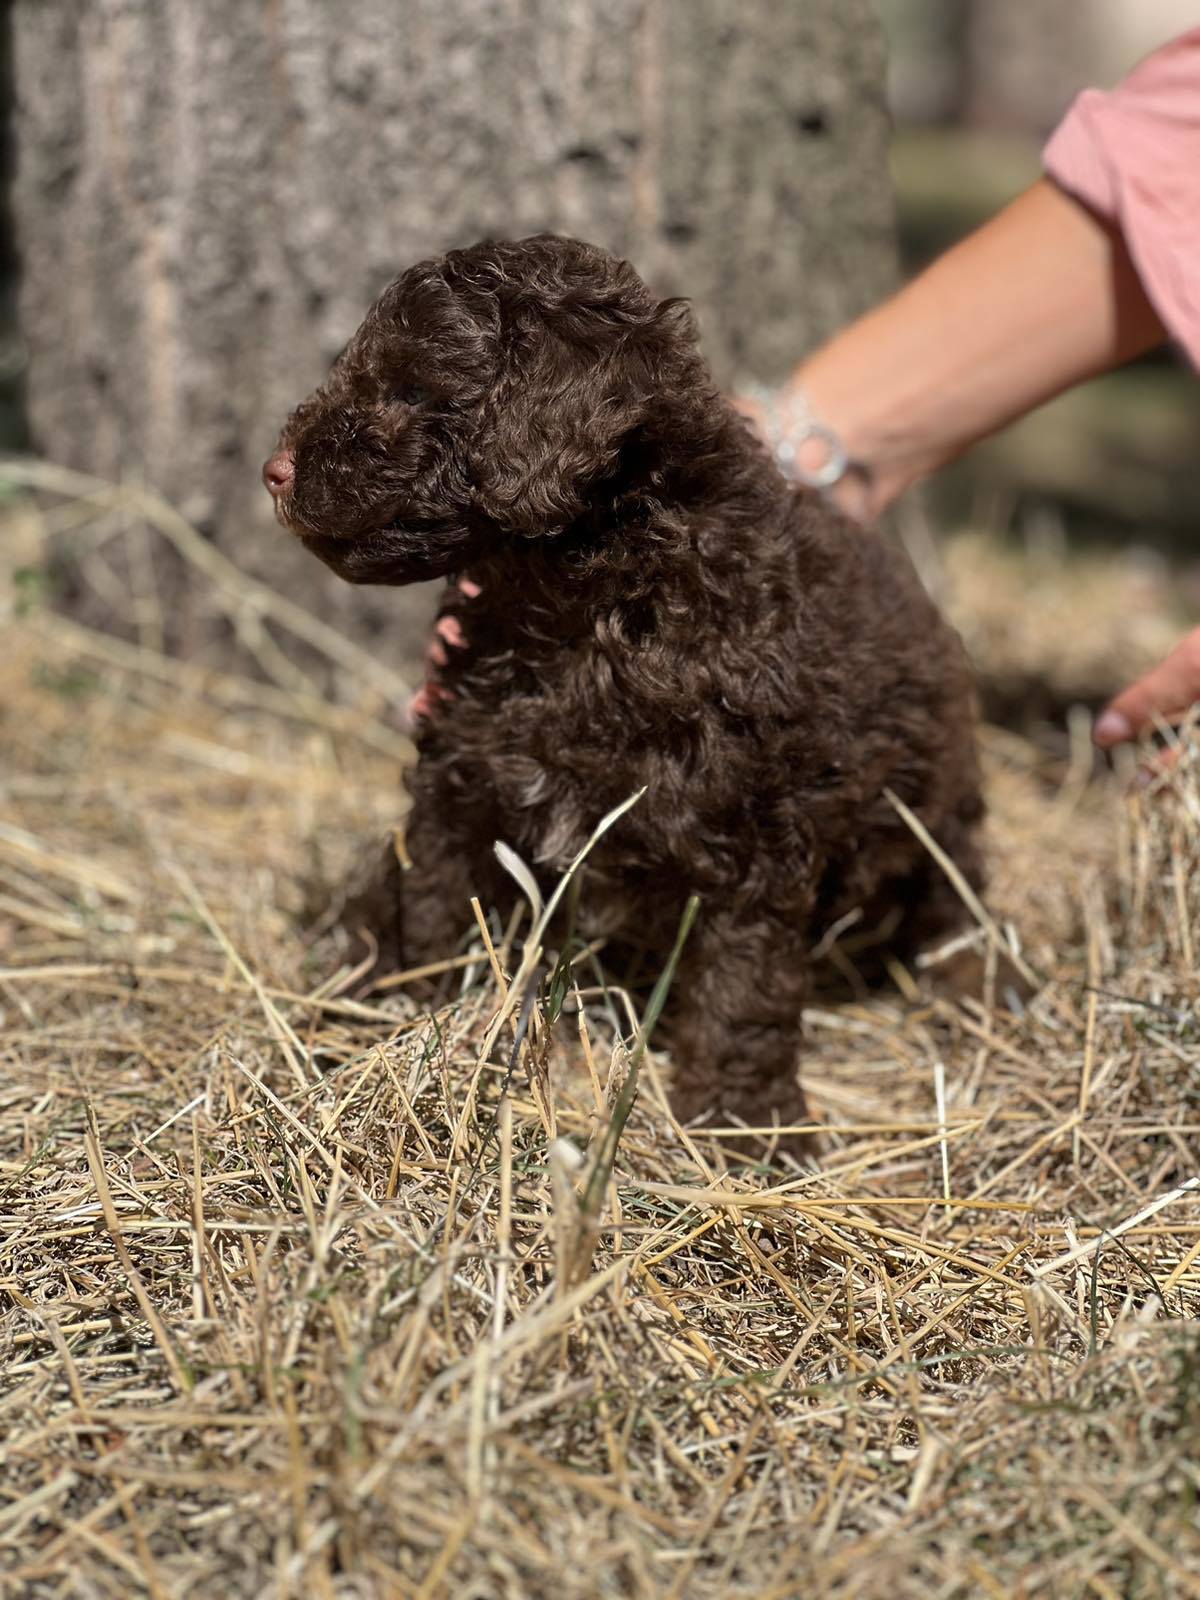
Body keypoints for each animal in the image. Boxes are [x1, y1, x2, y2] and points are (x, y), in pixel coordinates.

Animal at [265, 232, 985, 1145]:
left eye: (409, 388)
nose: (274, 470)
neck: (579, 604)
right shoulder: (460, 782)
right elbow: (432, 902)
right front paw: (410, 1016)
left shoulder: (753, 828)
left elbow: (744, 984)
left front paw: (743, 1118)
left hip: (937, 798)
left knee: (955, 884)